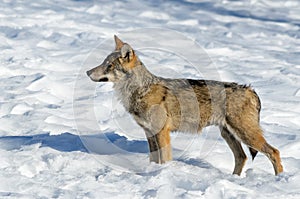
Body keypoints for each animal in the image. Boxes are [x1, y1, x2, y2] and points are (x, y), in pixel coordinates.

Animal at [86, 35, 284, 176]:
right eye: (103, 63)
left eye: (109, 65)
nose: (87, 72)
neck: (140, 90)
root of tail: (250, 89)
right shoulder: (149, 133)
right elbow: (153, 160)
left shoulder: (162, 133)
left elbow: (164, 160)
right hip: (229, 135)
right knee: (241, 157)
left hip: (245, 135)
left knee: (274, 152)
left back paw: (279, 180)